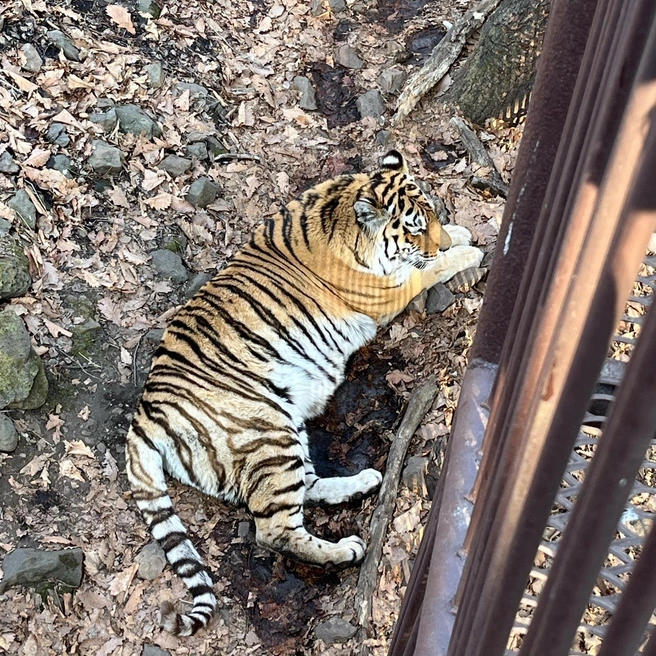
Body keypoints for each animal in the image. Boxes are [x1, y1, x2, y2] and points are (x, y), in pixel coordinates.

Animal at [125, 150, 484, 636]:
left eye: (429, 216)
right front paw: (466, 248)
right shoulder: (387, 292)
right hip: (267, 433)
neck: (340, 213)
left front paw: (458, 234)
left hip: (285, 431)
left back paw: (365, 482)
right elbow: (426, 271)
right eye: (412, 228)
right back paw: (348, 549)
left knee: (306, 489)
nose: (437, 239)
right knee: (274, 530)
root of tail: (144, 416)